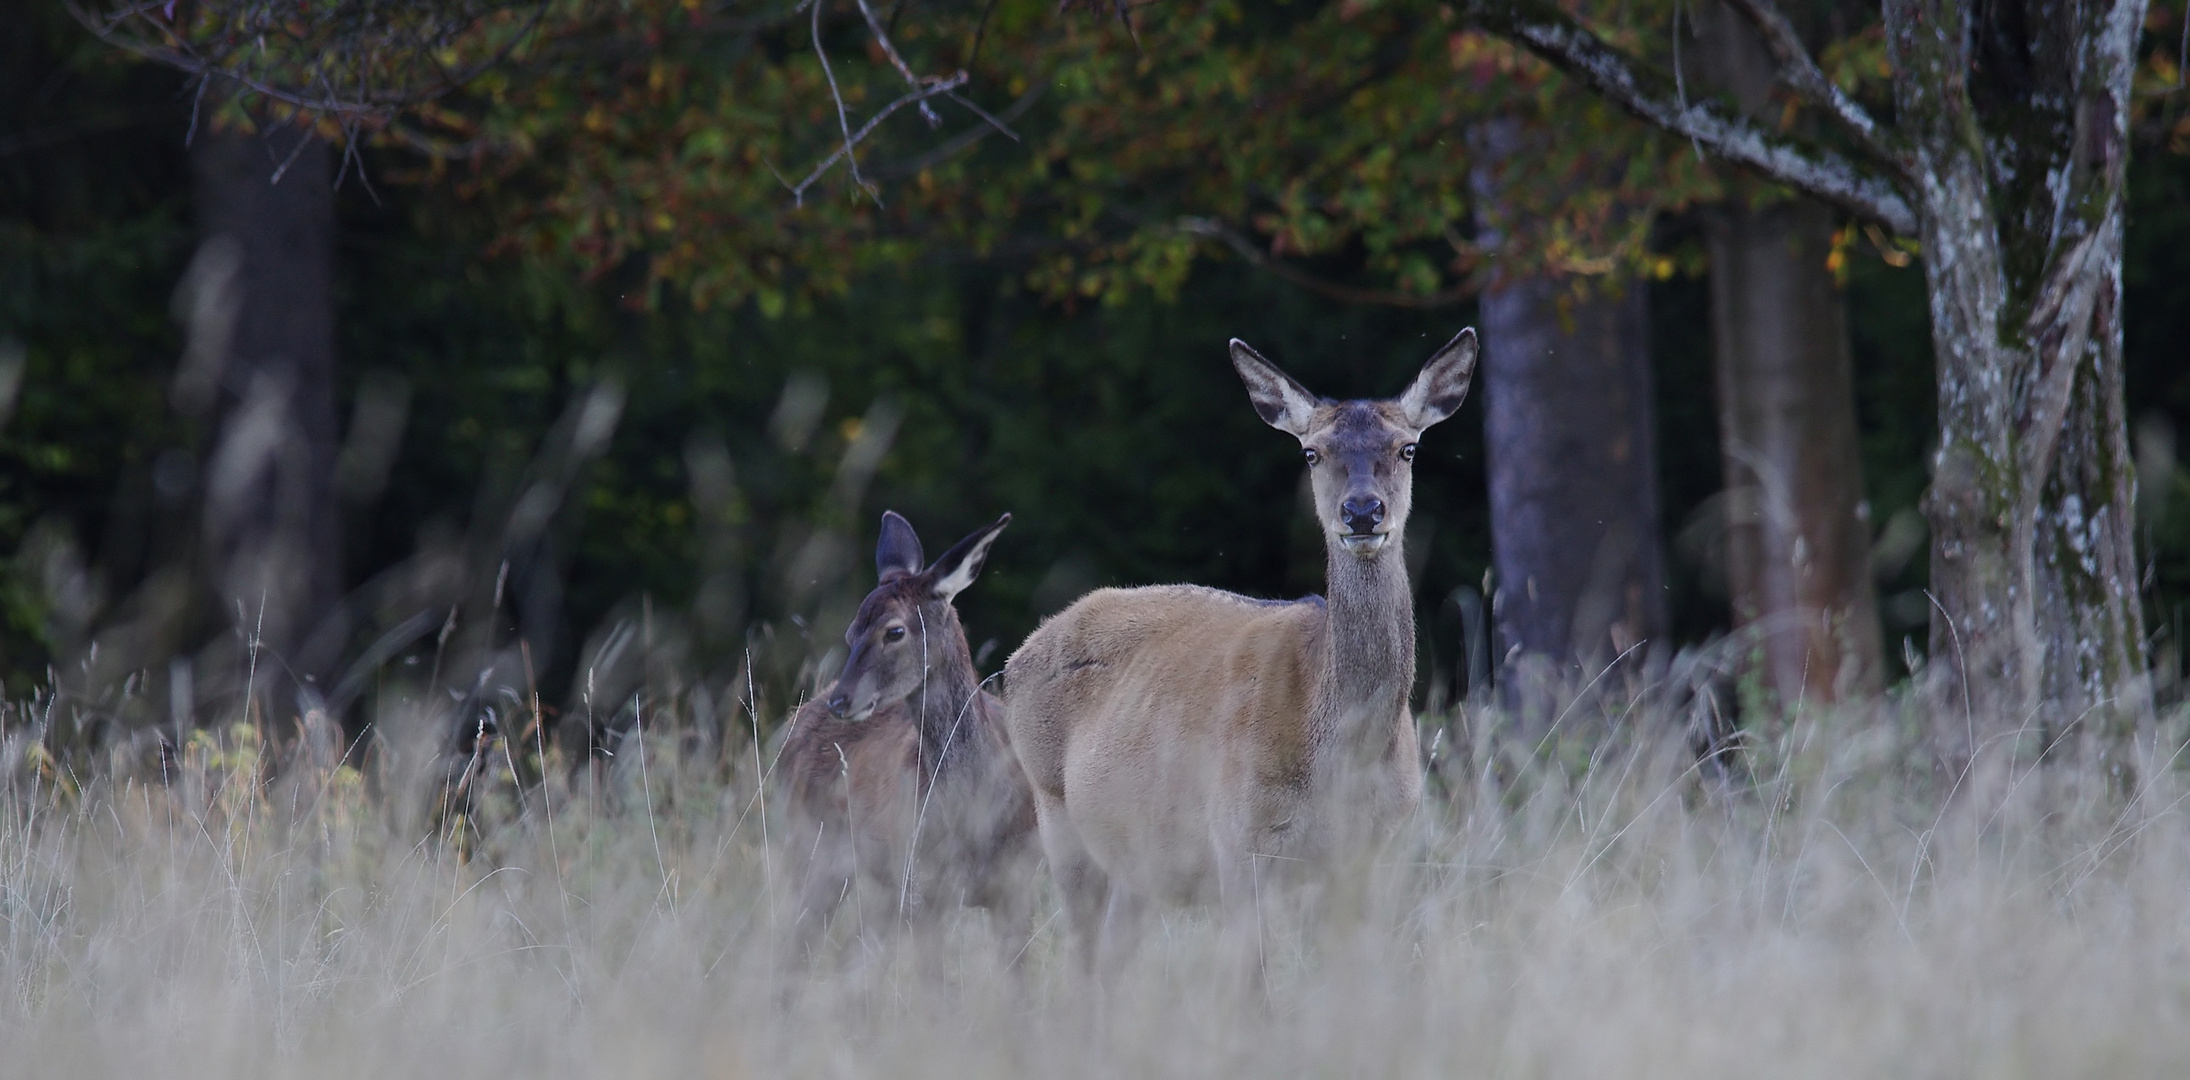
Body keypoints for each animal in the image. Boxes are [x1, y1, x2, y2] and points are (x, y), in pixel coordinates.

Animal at [779, 510, 1033, 946]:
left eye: (894, 630)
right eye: (851, 632)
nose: (841, 701)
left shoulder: (1019, 886)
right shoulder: (922, 886)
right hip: (811, 848)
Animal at [1003, 326, 1480, 959]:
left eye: (1408, 448)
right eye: (1311, 452)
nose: (1362, 511)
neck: (1342, 759)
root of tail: (1014, 660)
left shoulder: (1377, 849)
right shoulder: (1238, 838)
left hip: (1137, 861)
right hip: (1057, 815)